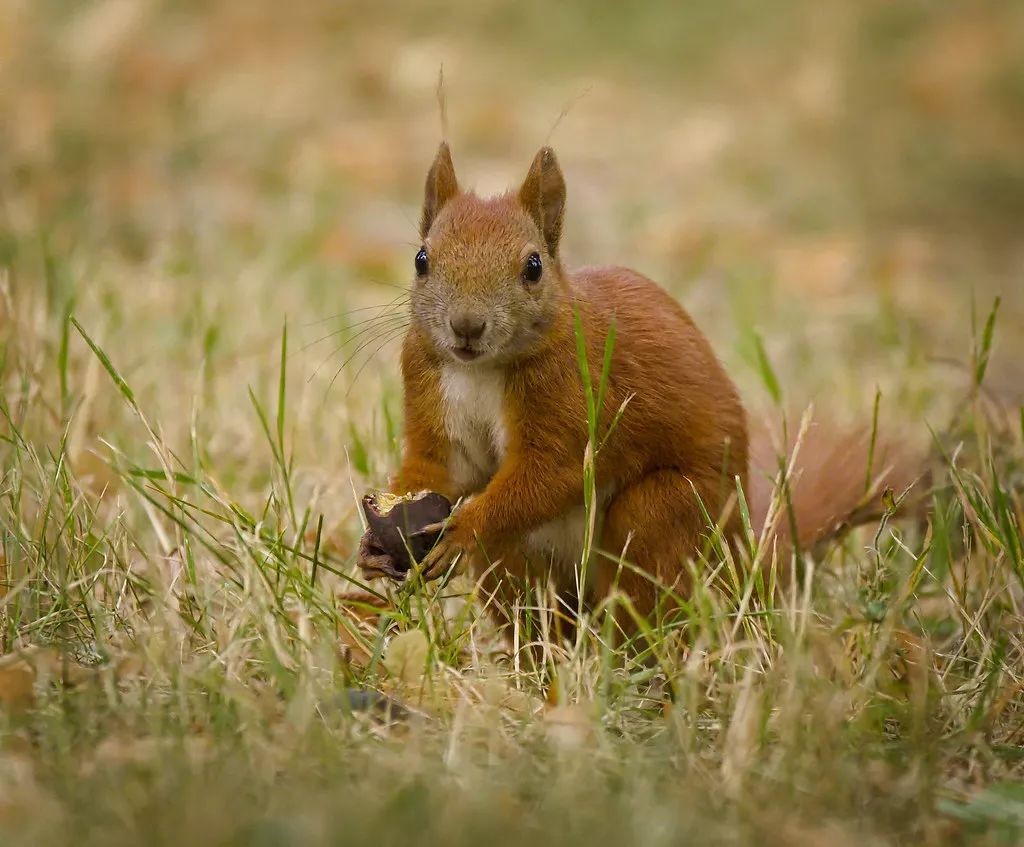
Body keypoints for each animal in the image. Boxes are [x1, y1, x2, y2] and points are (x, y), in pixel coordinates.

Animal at [356, 144, 917, 610]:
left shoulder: (577, 399)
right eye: (421, 259)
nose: (467, 327)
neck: (479, 370)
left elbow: (552, 473)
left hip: (663, 516)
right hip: (519, 565)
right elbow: (442, 469)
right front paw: (374, 544)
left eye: (533, 267)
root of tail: (741, 559)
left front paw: (464, 529)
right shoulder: (431, 385)